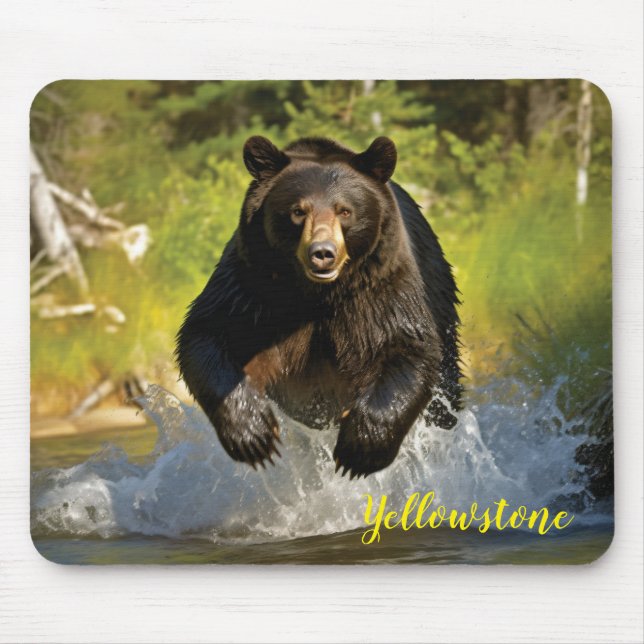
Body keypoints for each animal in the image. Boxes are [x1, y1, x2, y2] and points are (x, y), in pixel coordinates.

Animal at [176, 135, 462, 478]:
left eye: (345, 211)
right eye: (298, 210)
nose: (322, 253)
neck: (317, 294)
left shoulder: (381, 287)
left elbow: (408, 346)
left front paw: (359, 451)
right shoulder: (252, 286)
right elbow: (207, 333)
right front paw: (254, 434)